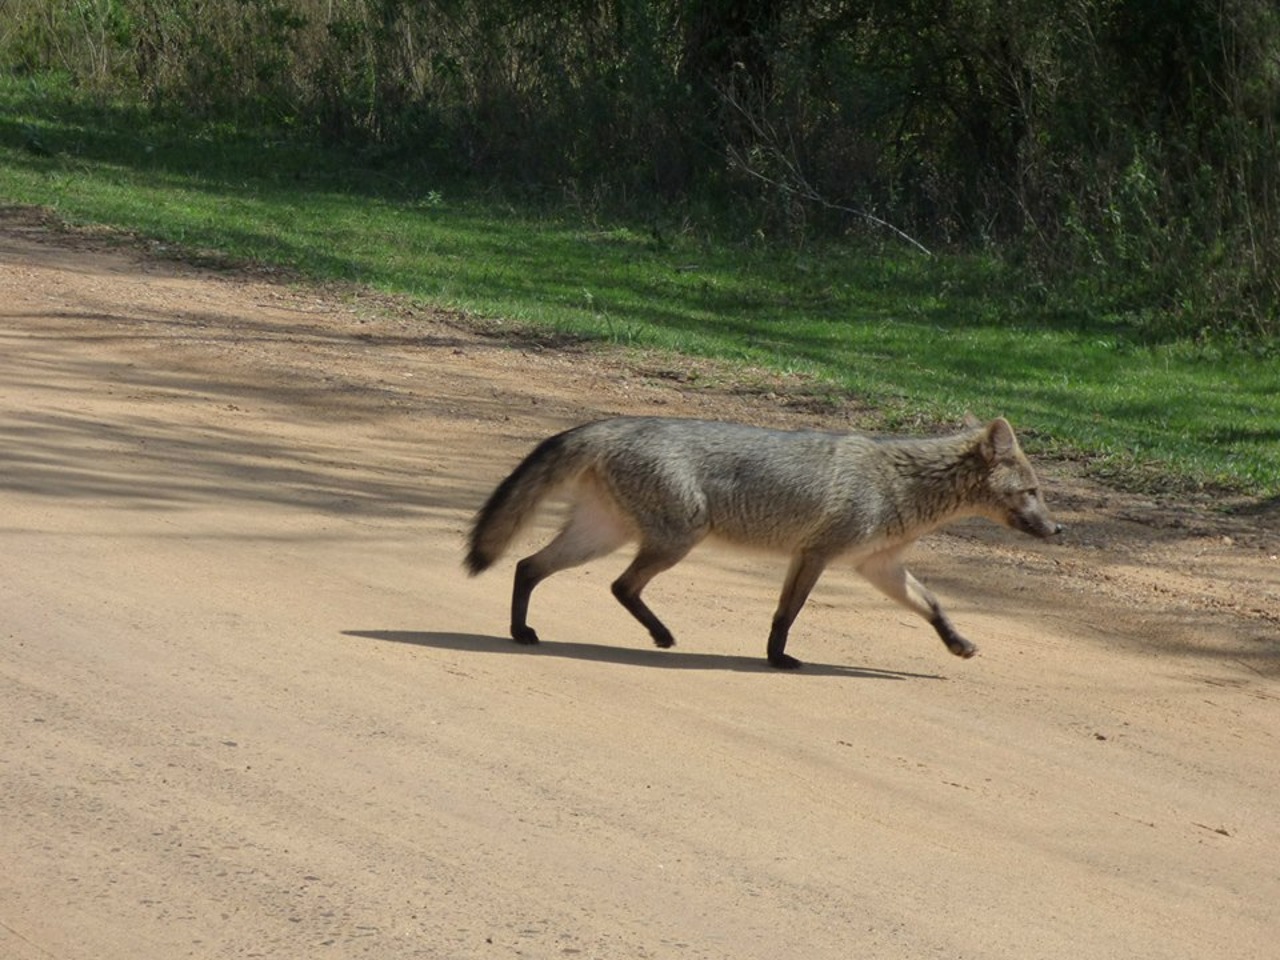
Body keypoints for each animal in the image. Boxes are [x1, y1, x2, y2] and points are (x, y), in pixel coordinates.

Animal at [465, 416, 1062, 669]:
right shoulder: (816, 554)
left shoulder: (878, 567)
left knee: (529, 567)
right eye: (1032, 492)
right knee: (616, 584)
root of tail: (613, 423)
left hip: (606, 537)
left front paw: (958, 644)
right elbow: (786, 615)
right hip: (675, 539)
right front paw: (777, 659)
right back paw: (654, 636)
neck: (900, 480)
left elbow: (934, 605)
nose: (1058, 530)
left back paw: (523, 633)